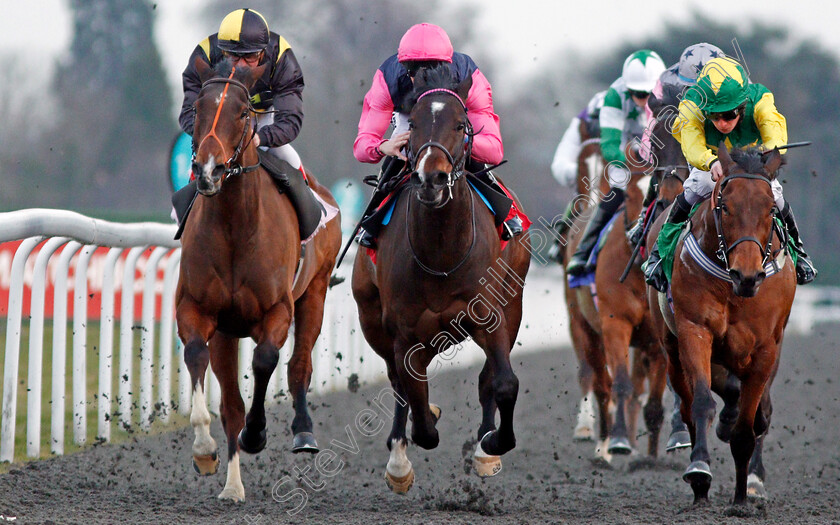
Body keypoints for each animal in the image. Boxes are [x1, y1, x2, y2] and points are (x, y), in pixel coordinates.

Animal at [176, 59, 342, 502]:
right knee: (231, 402)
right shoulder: (198, 310)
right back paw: (233, 486)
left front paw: (257, 433)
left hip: (315, 294)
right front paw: (204, 449)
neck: (236, 226)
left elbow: (267, 360)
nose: (208, 170)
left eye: (241, 112)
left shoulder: (277, 310)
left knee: (299, 366)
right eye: (197, 107)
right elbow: (197, 357)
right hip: (227, 331)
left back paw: (303, 432)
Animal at [352, 64, 528, 492]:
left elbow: (503, 383)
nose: (431, 179)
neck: (442, 252)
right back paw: (399, 458)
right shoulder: (402, 333)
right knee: (400, 385)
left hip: (512, 303)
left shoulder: (492, 318)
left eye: (462, 124)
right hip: (370, 318)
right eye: (413, 123)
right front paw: (411, 441)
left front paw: (491, 443)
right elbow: (416, 407)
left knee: (486, 378)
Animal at [648, 145, 796, 506]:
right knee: (692, 402)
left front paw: (742, 496)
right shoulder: (695, 330)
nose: (748, 275)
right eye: (725, 206)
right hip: (673, 351)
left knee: (759, 412)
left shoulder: (765, 349)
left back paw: (753, 479)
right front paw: (700, 472)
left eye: (771, 209)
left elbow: (750, 423)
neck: (733, 289)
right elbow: (702, 402)